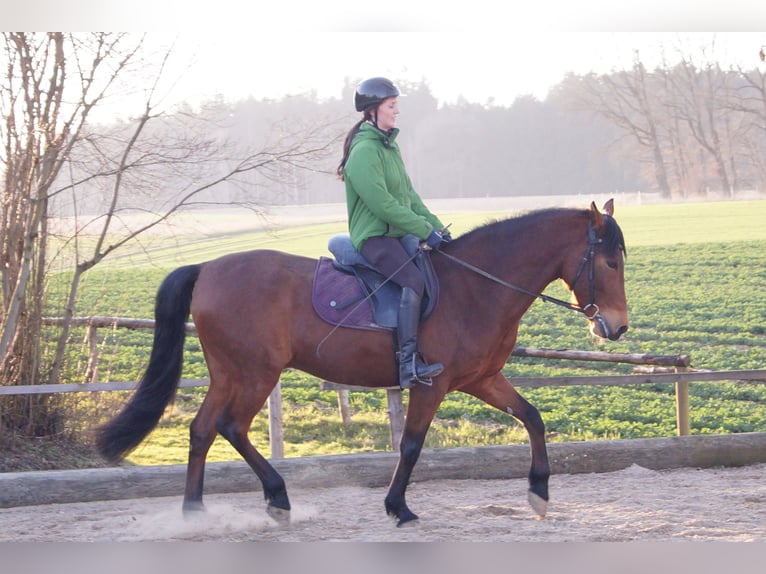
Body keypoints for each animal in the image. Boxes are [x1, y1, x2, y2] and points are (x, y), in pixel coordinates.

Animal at [96, 199, 628, 526]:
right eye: (610, 262)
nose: (618, 327)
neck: (476, 286)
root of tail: (207, 268)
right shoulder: (431, 386)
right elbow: (411, 445)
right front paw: (398, 507)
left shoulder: (482, 379)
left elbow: (532, 418)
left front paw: (539, 493)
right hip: (255, 374)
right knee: (231, 427)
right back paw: (277, 497)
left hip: (228, 373)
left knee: (203, 429)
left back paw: (195, 511)